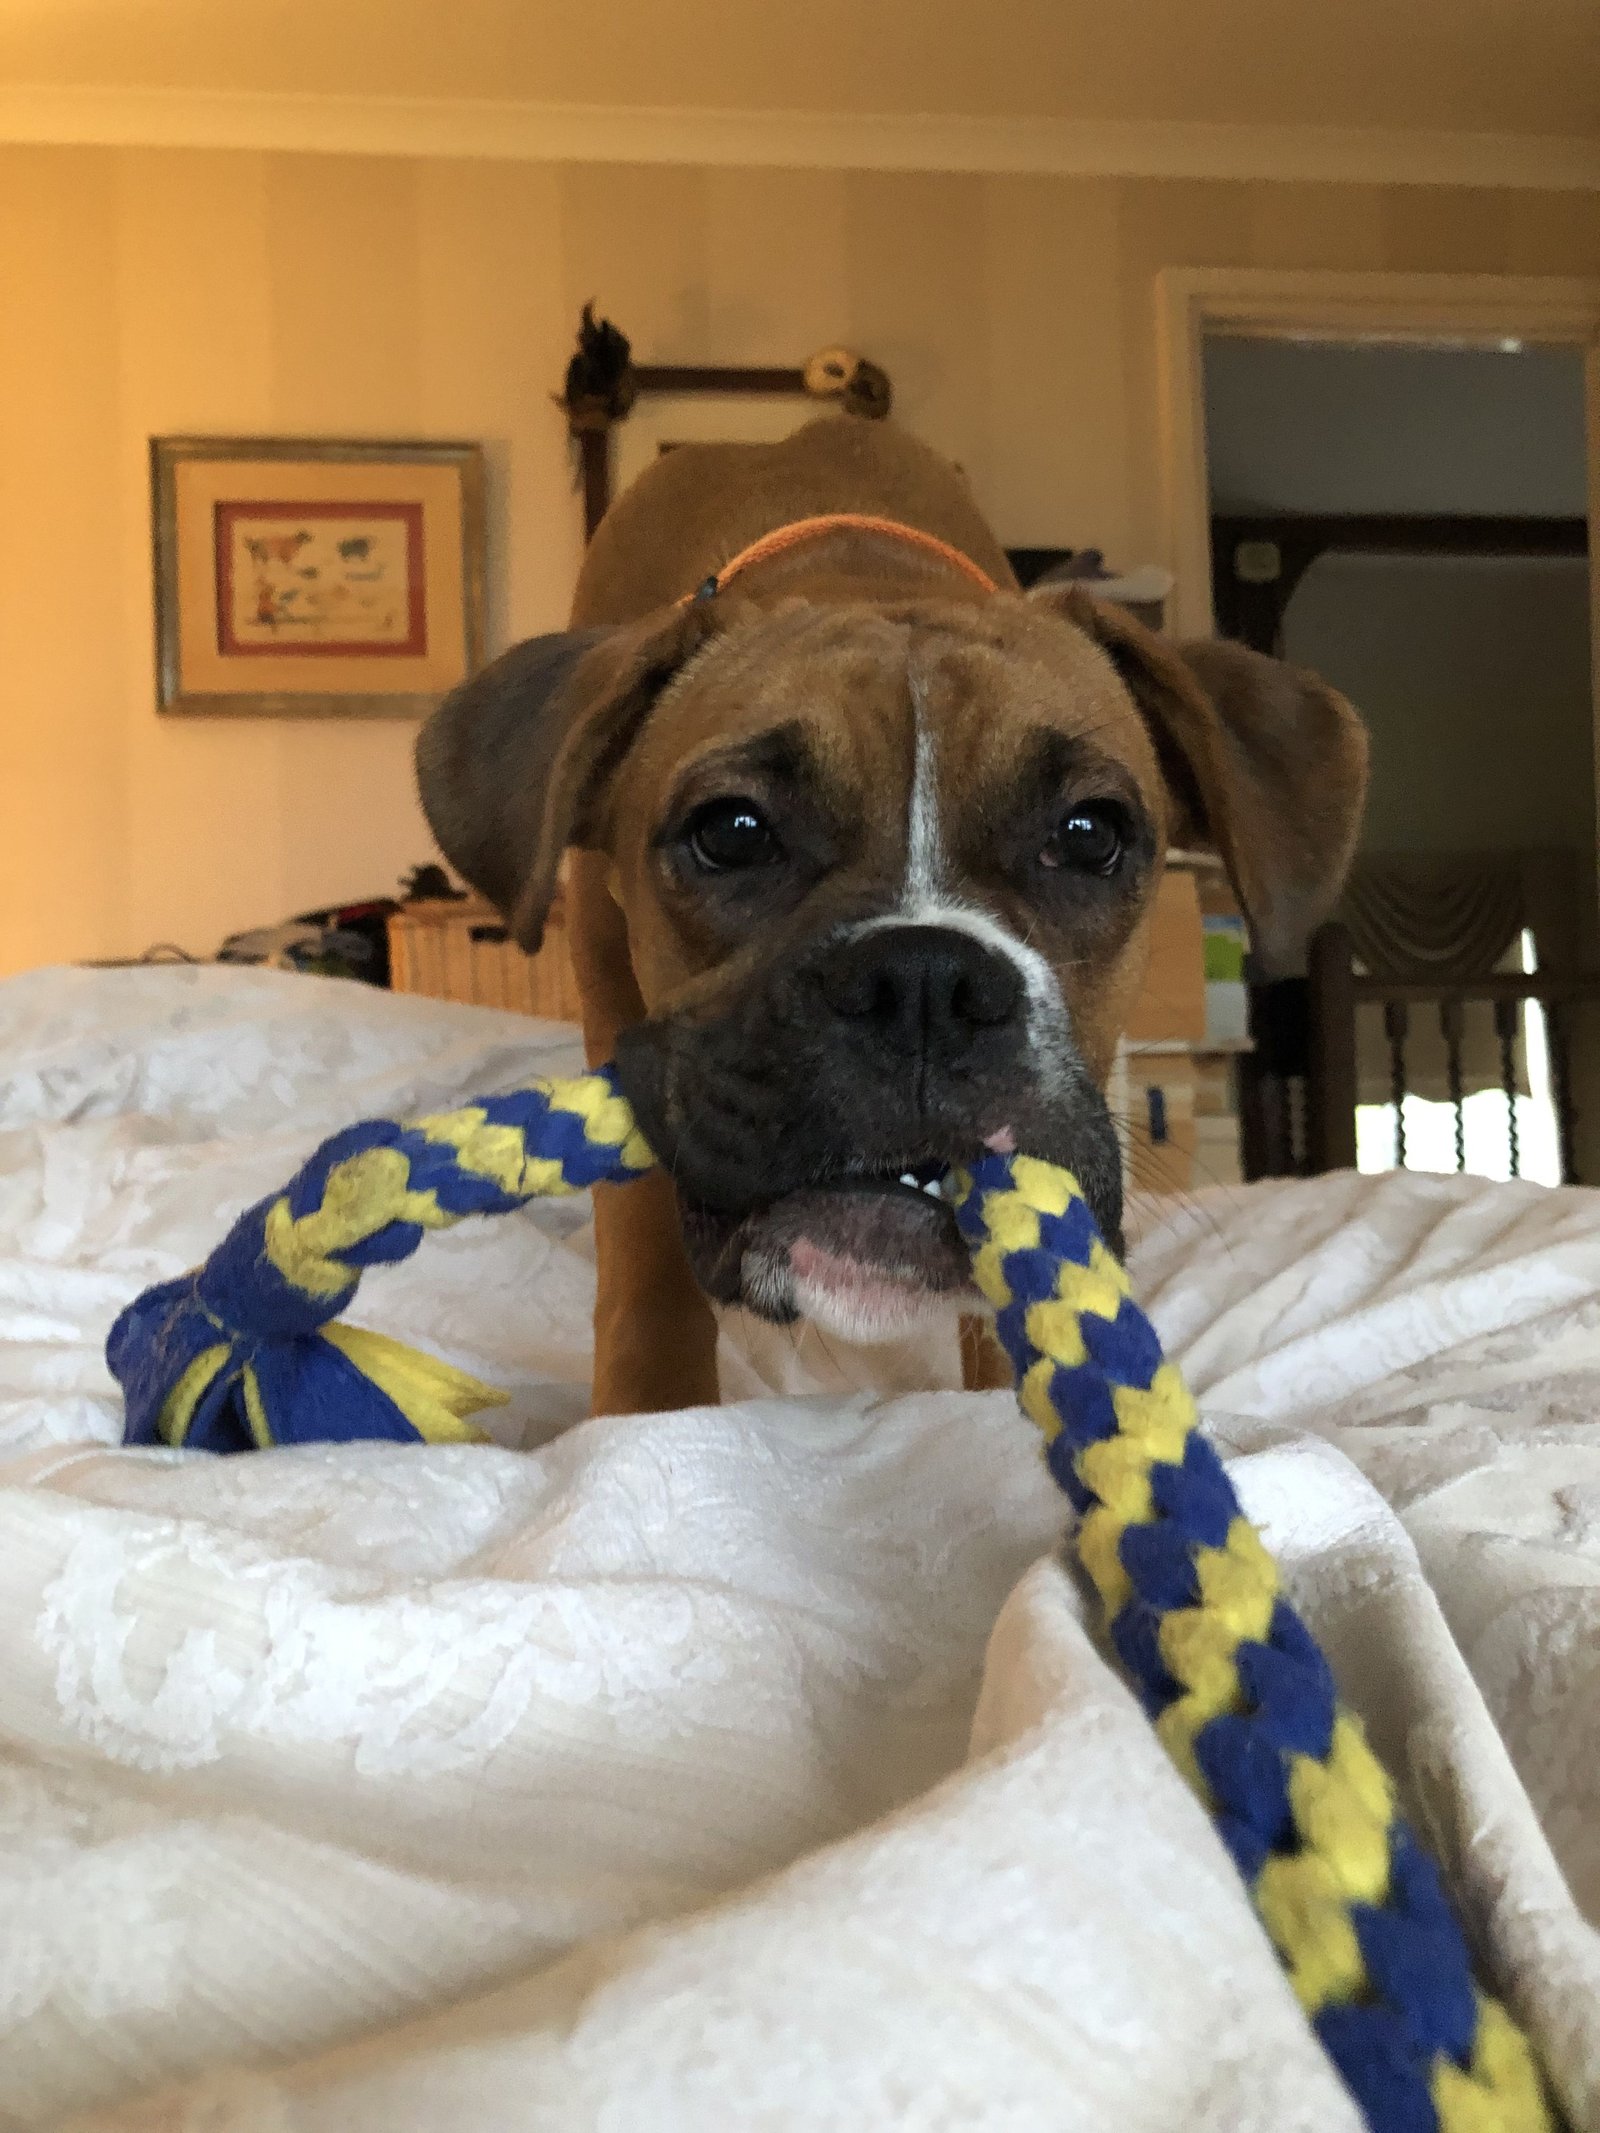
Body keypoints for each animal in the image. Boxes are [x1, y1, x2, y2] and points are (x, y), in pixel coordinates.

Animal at [416, 415, 1365, 1416]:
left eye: (1090, 833)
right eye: (732, 831)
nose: (924, 981)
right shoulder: (614, 1007)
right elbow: (643, 1249)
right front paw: (651, 1412)